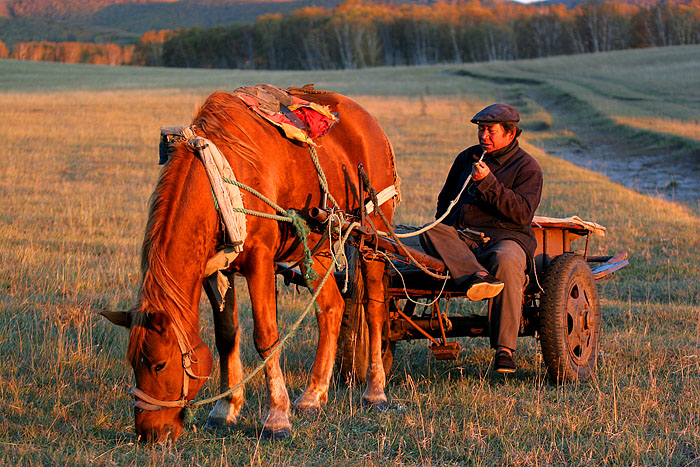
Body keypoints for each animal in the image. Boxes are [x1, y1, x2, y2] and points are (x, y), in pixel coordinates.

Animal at [102, 88, 400, 442]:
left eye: (158, 364)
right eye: (133, 364)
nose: (148, 433)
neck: (221, 182)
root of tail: (371, 124)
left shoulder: (260, 260)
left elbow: (266, 337)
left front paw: (276, 417)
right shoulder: (217, 269)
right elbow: (226, 336)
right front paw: (225, 409)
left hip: (373, 240)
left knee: (375, 310)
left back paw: (375, 391)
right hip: (318, 248)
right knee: (331, 310)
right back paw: (313, 395)